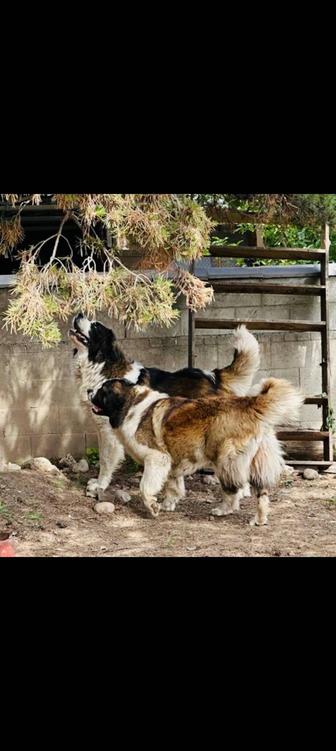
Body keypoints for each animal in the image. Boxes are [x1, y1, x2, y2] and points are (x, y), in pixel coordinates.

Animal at [69, 314, 262, 502]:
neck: (100, 365)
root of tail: (213, 377)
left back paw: (241, 491)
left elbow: (105, 460)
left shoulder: (109, 431)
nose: (79, 314)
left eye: (95, 325)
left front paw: (100, 485)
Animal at [88, 378, 302, 524]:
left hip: (225, 461)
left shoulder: (157, 458)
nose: (89, 390)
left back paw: (223, 510)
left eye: (102, 391)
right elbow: (173, 485)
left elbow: (145, 487)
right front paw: (168, 504)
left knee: (233, 489)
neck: (131, 405)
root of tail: (248, 403)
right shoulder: (172, 462)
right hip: (257, 461)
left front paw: (153, 507)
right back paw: (259, 519)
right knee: (262, 492)